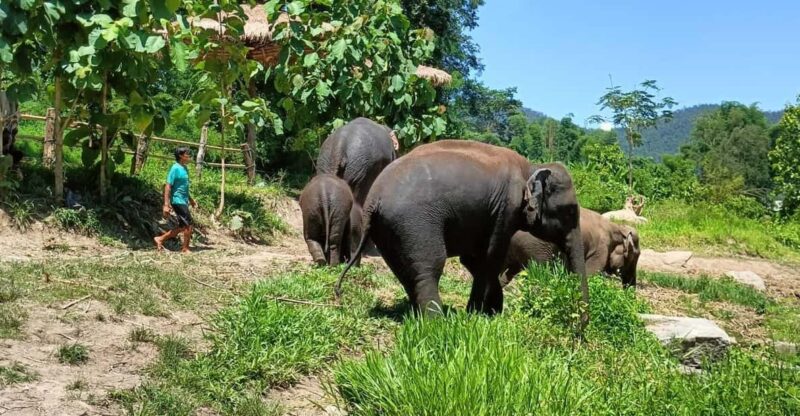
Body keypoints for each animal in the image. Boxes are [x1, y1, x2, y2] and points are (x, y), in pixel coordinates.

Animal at [335, 139, 587, 317]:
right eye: (570, 211)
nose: (579, 332)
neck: (531, 167)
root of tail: (373, 200)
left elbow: (475, 259)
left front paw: (487, 312)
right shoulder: (506, 209)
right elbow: (490, 258)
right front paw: (478, 314)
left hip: (387, 228)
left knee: (405, 271)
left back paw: (416, 314)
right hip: (413, 222)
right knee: (429, 267)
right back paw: (436, 322)